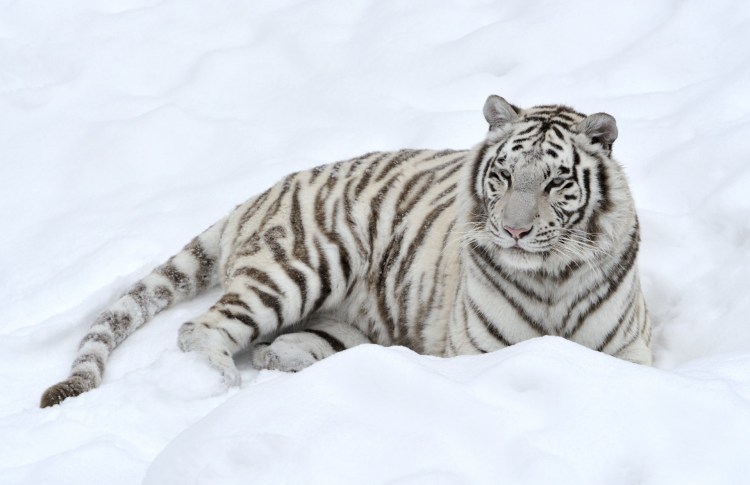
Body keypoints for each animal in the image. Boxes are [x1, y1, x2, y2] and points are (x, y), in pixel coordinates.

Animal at [40, 95, 651, 408]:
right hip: (302, 265)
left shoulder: (629, 351)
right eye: (502, 175)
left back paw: (281, 359)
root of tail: (253, 198)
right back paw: (221, 382)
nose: (514, 231)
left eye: (554, 181)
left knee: (288, 343)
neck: (550, 277)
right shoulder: (475, 353)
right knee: (200, 328)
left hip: (345, 317)